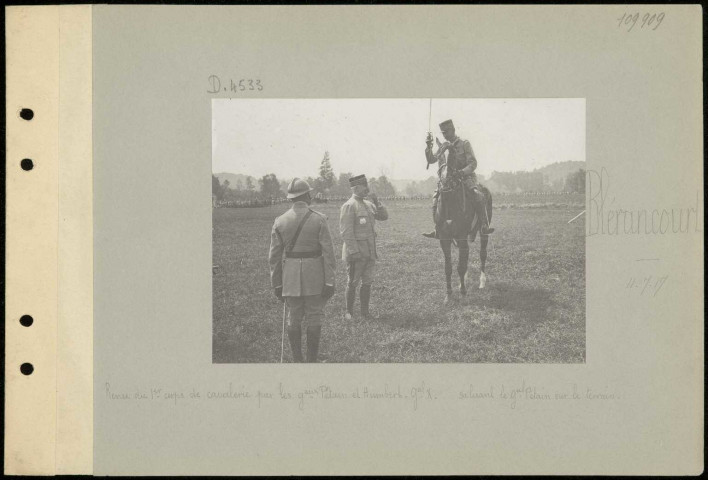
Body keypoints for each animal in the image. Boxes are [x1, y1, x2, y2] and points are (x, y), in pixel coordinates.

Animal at [434, 161, 490, 304]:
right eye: (440, 170)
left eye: (453, 171)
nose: (445, 185)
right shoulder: (444, 239)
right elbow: (448, 267)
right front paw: (448, 295)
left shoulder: (461, 236)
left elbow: (460, 267)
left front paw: (463, 293)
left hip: (484, 233)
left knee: (482, 254)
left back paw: (482, 282)